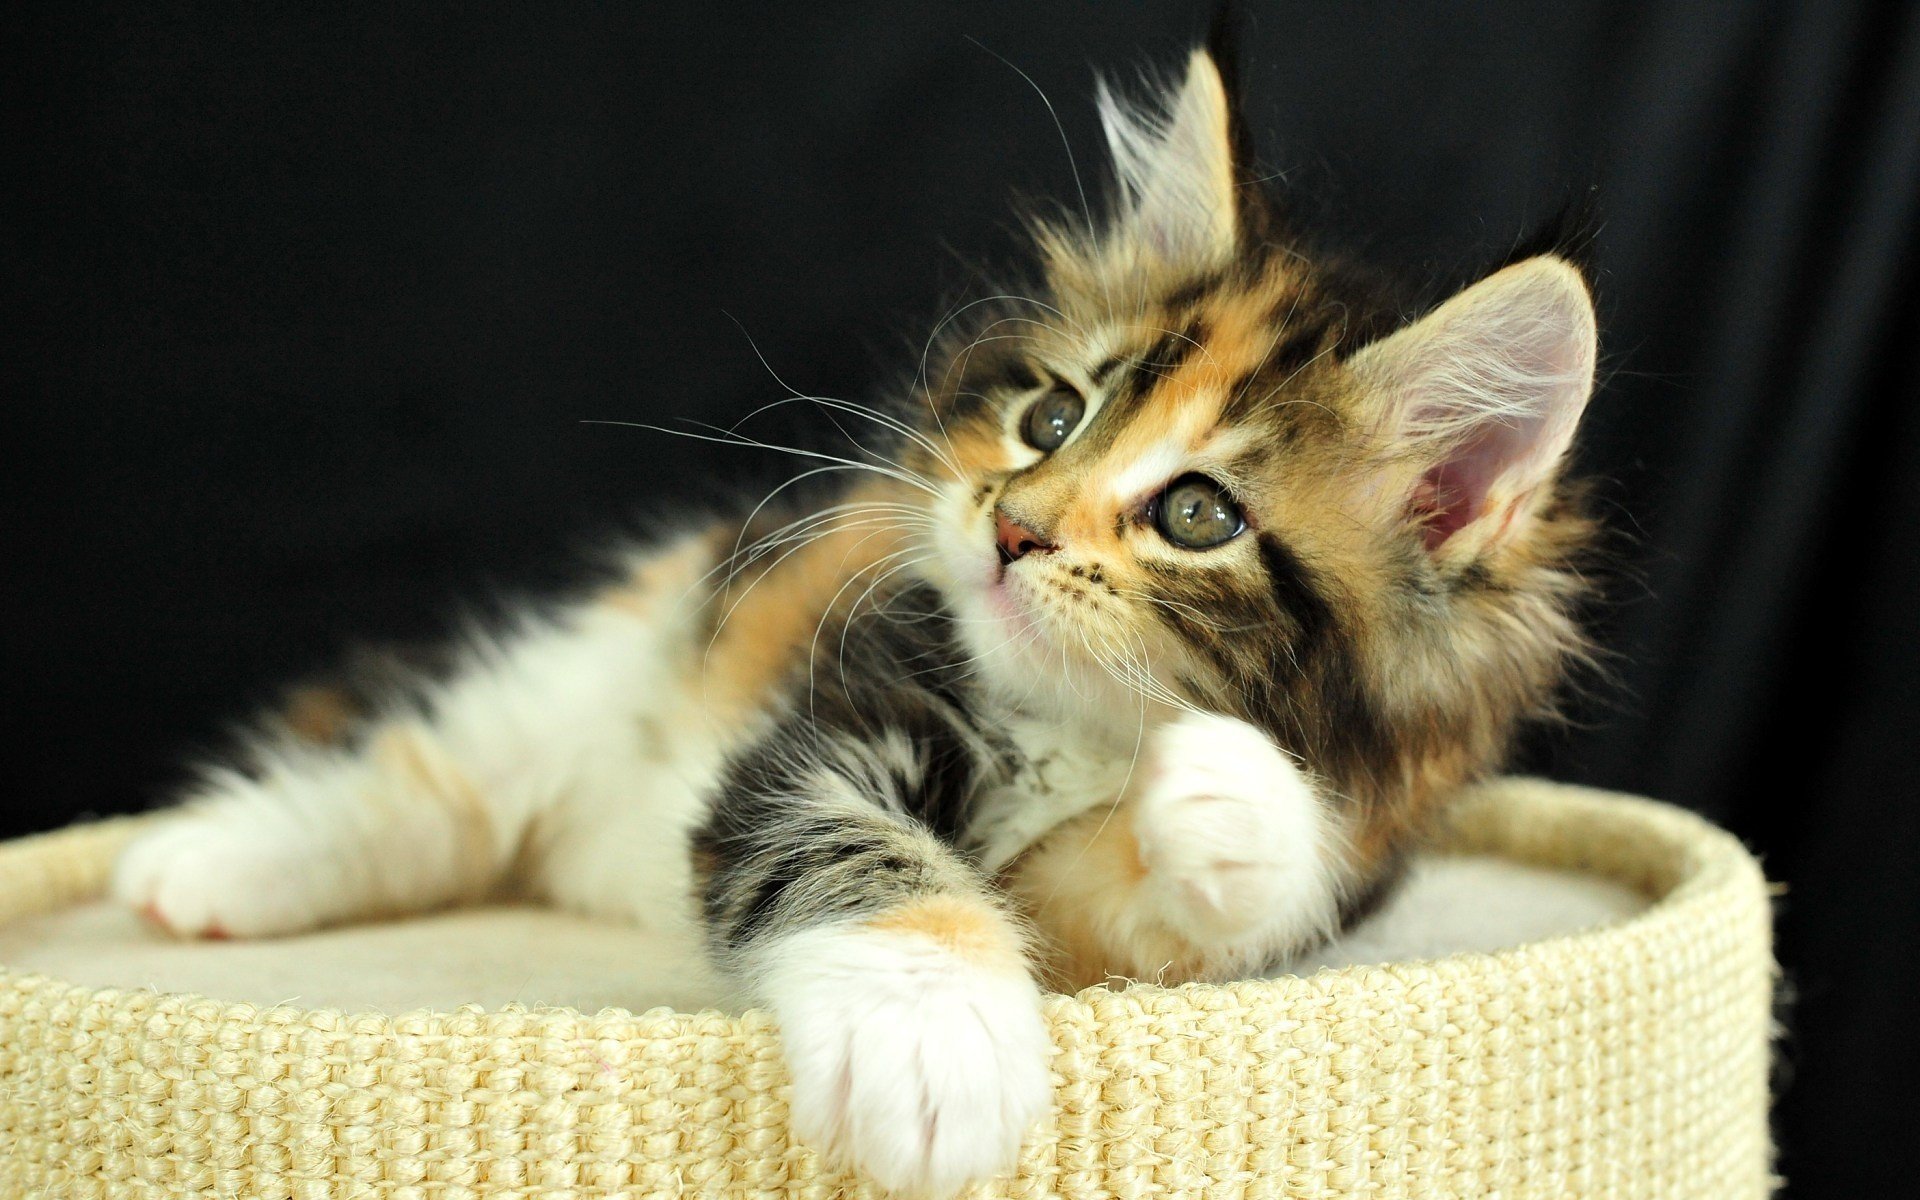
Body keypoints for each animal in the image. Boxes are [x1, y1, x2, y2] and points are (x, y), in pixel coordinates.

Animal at [112, 37, 1597, 1198]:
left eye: (1195, 514)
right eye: (1049, 418)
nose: (1010, 526)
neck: (1068, 728)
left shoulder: (1239, 891)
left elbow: (1213, 889)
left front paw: (1233, 802)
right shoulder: (824, 724)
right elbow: (860, 850)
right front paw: (930, 1050)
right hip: (596, 665)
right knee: (434, 784)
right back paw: (201, 866)